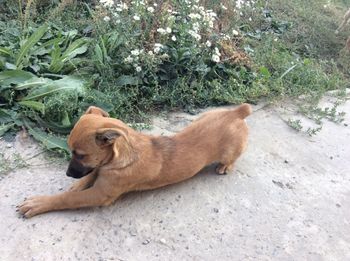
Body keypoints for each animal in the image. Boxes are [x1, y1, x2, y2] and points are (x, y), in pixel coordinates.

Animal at [18, 104, 252, 217]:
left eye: (80, 154)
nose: (68, 174)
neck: (120, 156)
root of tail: (236, 112)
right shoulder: (101, 170)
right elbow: (92, 173)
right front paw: (77, 184)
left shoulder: (101, 194)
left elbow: (67, 199)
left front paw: (39, 203)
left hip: (230, 151)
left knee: (232, 159)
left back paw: (224, 166)